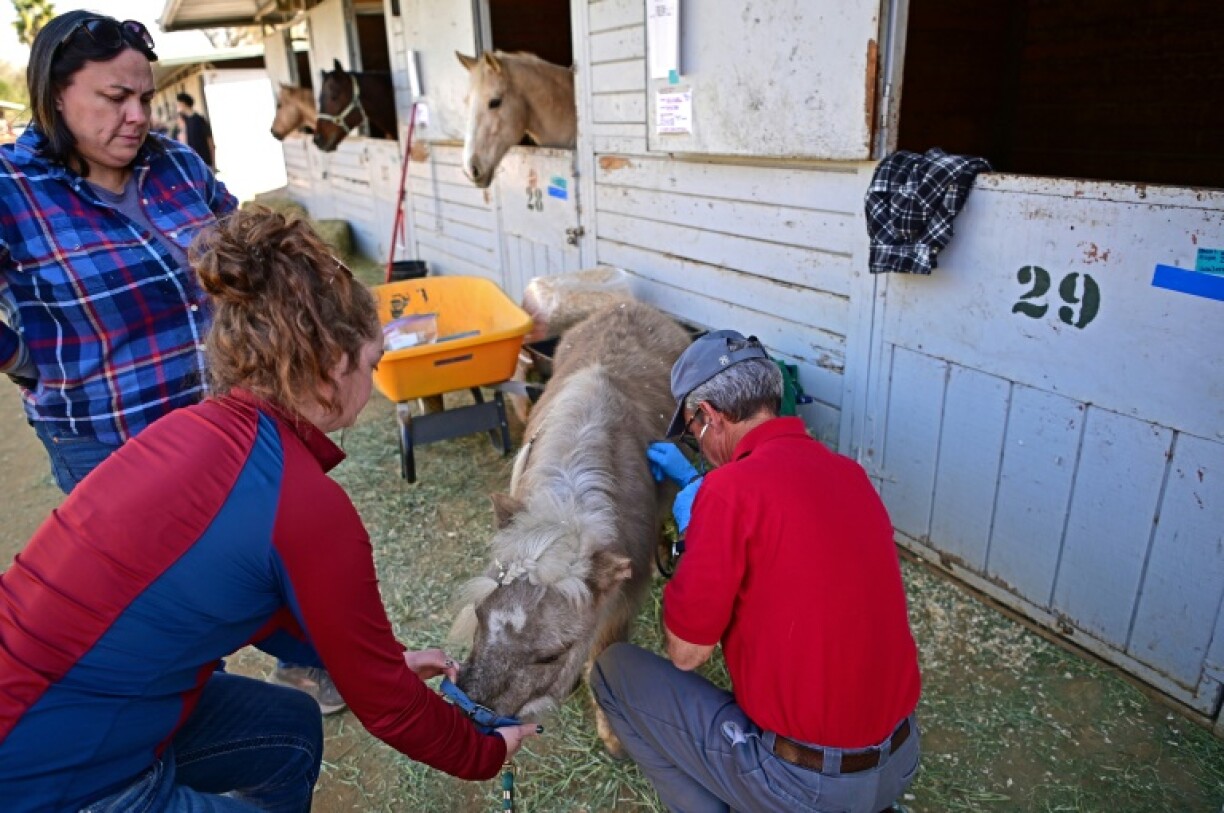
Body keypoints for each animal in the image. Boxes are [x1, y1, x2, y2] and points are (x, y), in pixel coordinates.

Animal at [450, 302, 690, 754]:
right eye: (479, 613)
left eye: (551, 655)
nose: (471, 713)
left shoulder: (621, 605)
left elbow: (605, 653)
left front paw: (612, 735)